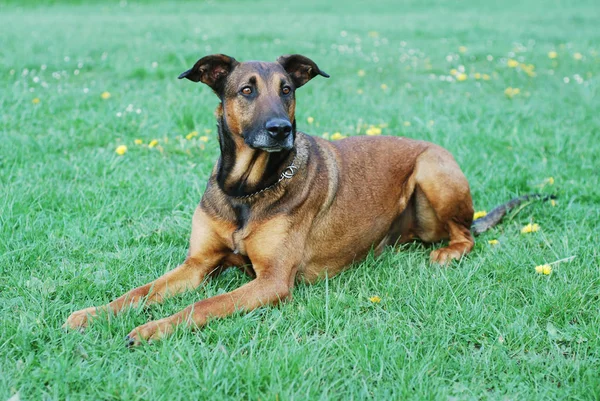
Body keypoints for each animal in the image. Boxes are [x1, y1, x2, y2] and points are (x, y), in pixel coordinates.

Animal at [64, 54, 516, 346]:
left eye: (287, 90)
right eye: (247, 90)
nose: (281, 129)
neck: (246, 192)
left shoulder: (272, 281)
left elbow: (204, 305)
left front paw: (152, 329)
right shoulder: (197, 264)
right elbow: (139, 292)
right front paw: (93, 313)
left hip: (433, 168)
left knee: (465, 233)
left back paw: (449, 252)